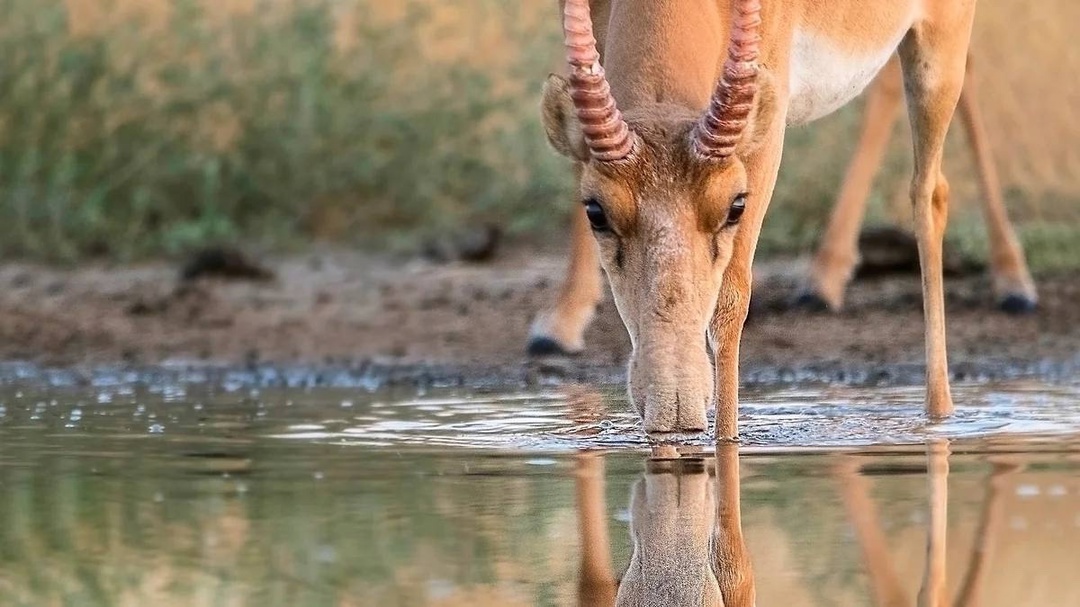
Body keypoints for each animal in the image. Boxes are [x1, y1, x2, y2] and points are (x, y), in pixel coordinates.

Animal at [535, 0, 989, 434]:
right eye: (595, 210)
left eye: (736, 205)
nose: (675, 405)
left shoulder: (766, 124)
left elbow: (731, 299)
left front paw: (727, 438)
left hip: (938, 44)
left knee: (929, 192)